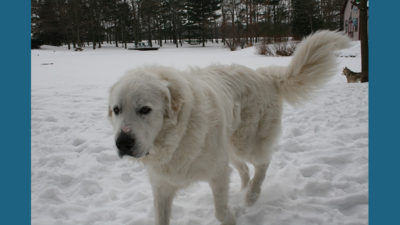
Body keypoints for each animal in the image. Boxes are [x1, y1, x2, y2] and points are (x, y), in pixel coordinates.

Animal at [108, 30, 348, 225]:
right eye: (117, 109)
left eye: (145, 109)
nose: (122, 143)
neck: (177, 137)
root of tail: (264, 75)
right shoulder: (163, 186)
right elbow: (161, 218)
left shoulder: (217, 173)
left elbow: (221, 213)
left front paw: (233, 215)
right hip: (230, 148)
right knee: (244, 169)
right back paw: (244, 189)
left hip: (245, 143)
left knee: (263, 163)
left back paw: (252, 195)